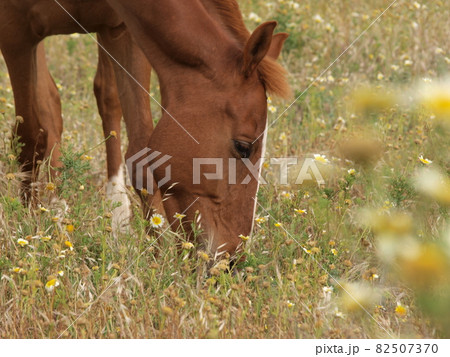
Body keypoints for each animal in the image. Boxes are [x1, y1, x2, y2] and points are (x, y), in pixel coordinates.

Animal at [0, 0, 290, 256]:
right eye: (243, 147)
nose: (232, 258)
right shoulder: (16, 36)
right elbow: (29, 137)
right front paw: (29, 230)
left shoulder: (122, 31)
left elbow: (141, 154)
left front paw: (157, 255)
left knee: (94, 97)